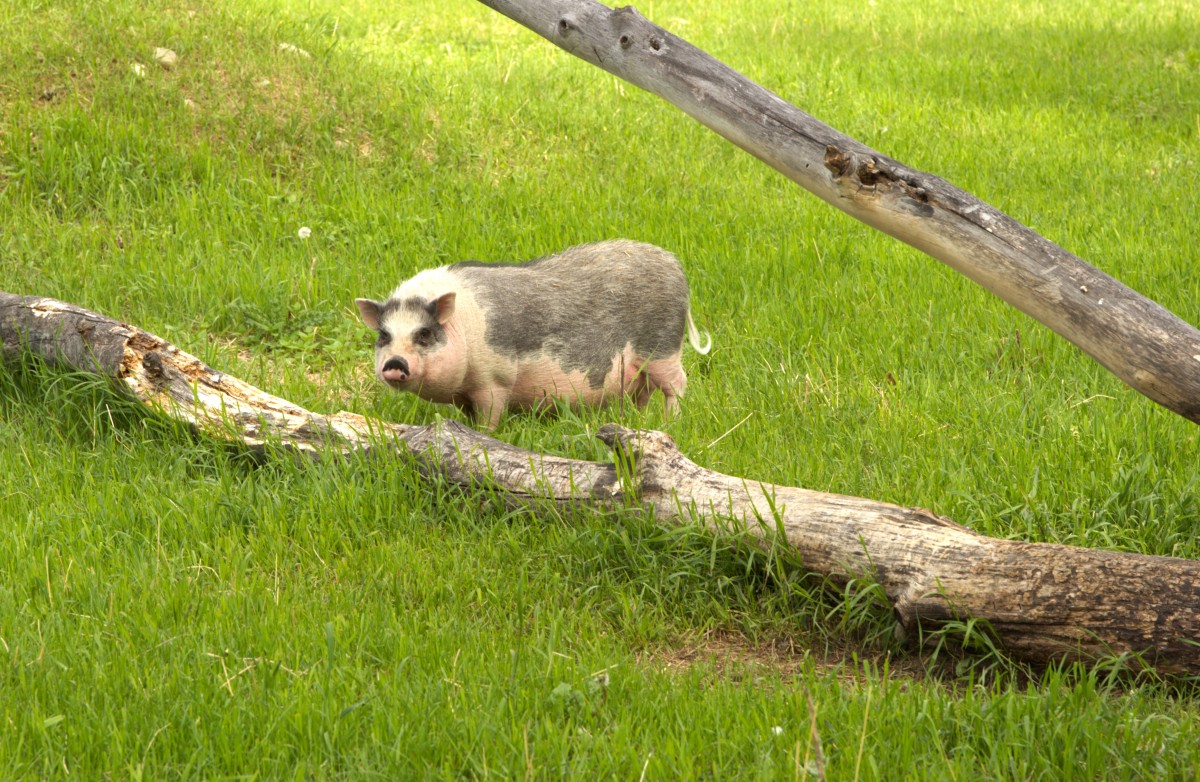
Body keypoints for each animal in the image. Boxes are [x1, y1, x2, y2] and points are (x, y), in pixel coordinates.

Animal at [354, 239, 711, 429]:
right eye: (384, 335)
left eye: (425, 334)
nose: (394, 363)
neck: (465, 326)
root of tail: (675, 265)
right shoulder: (465, 394)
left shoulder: (494, 378)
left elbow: (491, 414)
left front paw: (487, 435)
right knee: (643, 391)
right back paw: (639, 422)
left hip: (663, 348)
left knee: (677, 384)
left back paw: (671, 423)